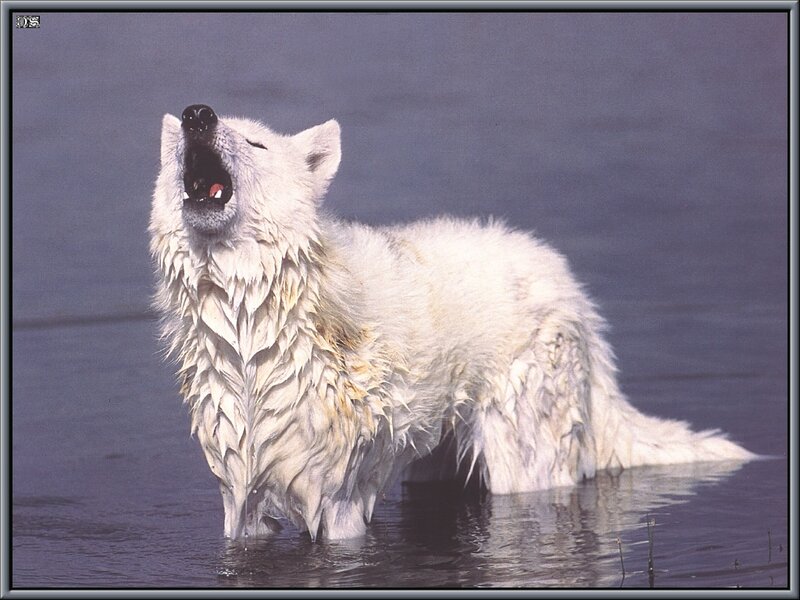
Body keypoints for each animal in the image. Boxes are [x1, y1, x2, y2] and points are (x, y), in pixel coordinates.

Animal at [150, 104, 753, 541]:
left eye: (257, 144)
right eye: (191, 132)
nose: (198, 114)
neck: (250, 328)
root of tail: (576, 293)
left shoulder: (338, 497)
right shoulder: (240, 493)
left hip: (521, 452)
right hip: (434, 458)